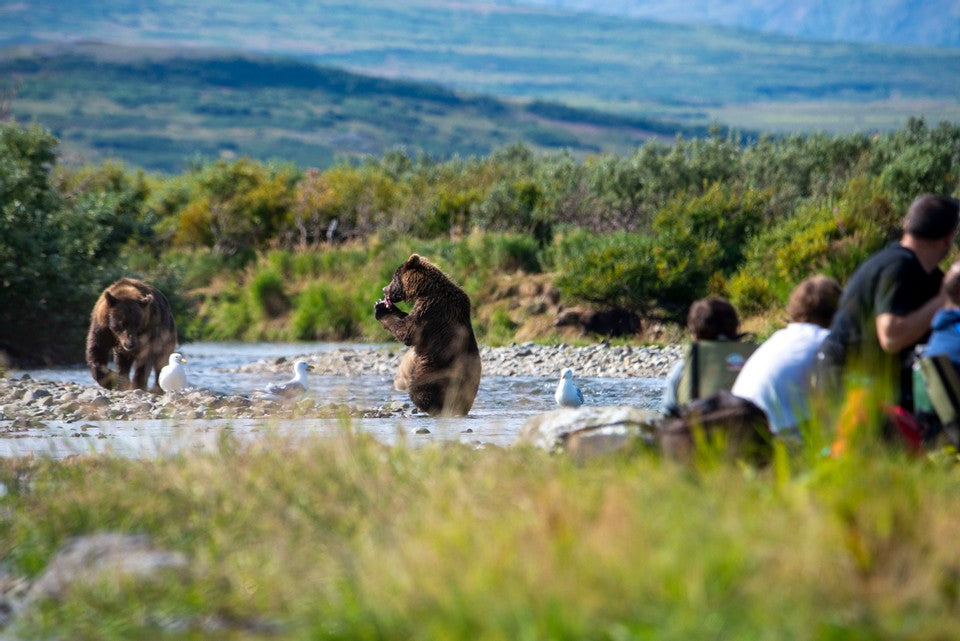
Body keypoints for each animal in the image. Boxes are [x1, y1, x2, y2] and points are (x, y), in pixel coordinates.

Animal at [375, 254, 482, 416]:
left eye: (394, 277)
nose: (384, 289)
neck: (425, 289)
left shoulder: (430, 309)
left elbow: (409, 332)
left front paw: (381, 309)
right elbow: (405, 318)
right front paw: (387, 306)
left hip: (435, 370)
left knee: (420, 390)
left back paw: (431, 406)